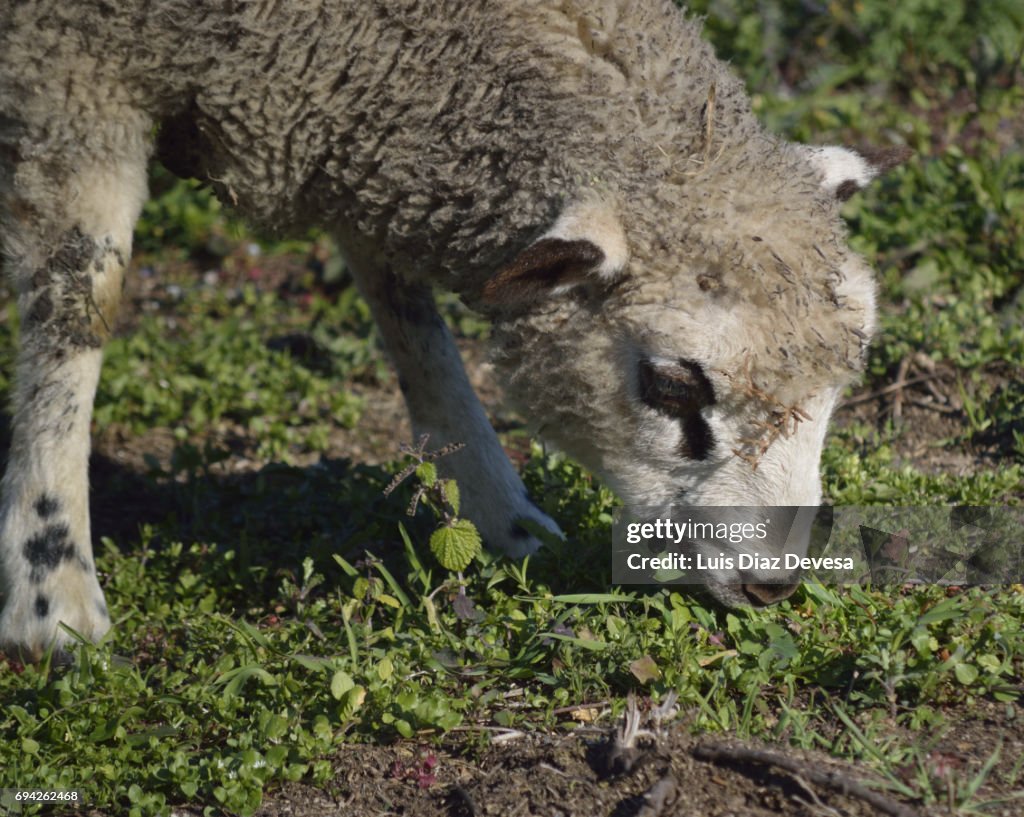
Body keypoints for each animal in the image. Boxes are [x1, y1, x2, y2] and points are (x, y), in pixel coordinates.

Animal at [0, 0, 905, 660]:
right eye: (672, 386)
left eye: (838, 386)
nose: (776, 584)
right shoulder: (73, 67)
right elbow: (78, 301)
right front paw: (52, 600)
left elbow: (406, 309)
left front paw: (501, 513)